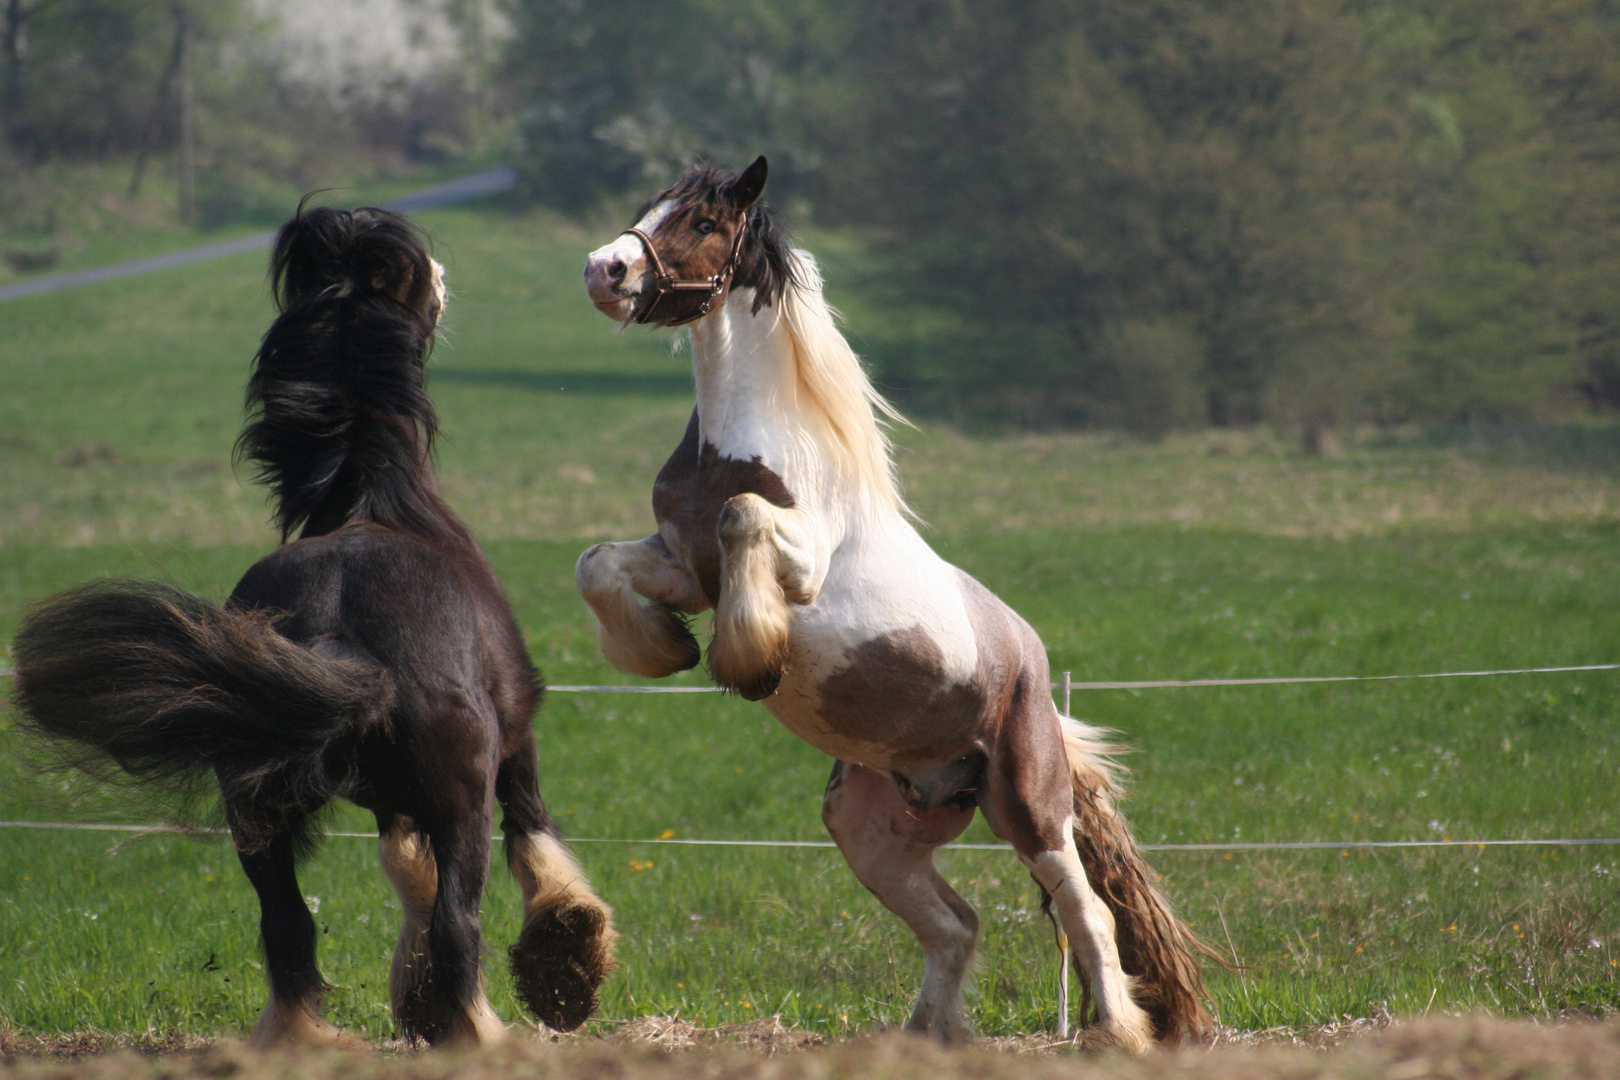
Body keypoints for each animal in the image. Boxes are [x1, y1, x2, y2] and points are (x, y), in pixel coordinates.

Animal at [12, 202, 615, 1049]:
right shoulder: (517, 735)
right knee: (457, 923)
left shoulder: (389, 799)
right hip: (460, 795)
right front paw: (566, 961)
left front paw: (417, 1001)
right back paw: (484, 1036)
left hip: (256, 814)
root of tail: (337, 629)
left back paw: (304, 1040)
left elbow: (403, 867)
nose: (443, 283)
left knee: (287, 927)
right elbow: (532, 839)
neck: (381, 496)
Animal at [583, 158, 1218, 1049]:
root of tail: (1034, 674)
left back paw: (1116, 1035)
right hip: (871, 827)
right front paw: (663, 648)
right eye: (651, 207)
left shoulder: (795, 562)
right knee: (957, 925)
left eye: (703, 222)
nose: (604, 271)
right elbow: (597, 563)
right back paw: (925, 1038)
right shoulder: (681, 565)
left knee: (1085, 914)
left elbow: (742, 515)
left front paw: (747, 662)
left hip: (1029, 806)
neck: (747, 443)